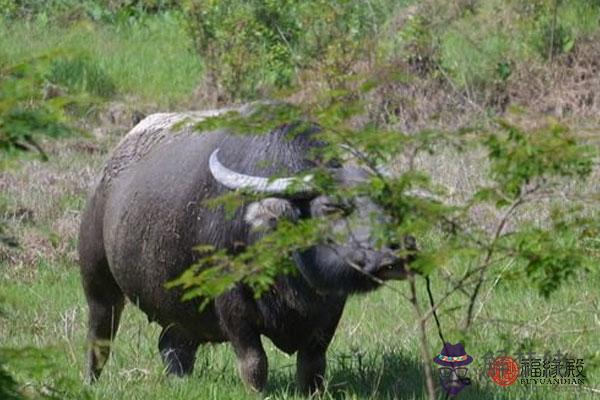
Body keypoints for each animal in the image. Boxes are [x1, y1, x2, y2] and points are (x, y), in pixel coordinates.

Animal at [77, 104, 410, 394]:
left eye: (384, 203)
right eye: (331, 207)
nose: (392, 256)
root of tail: (105, 178)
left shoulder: (329, 310)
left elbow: (312, 366)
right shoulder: (232, 302)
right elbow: (254, 363)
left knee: (172, 345)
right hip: (98, 284)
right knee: (99, 338)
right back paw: (91, 382)